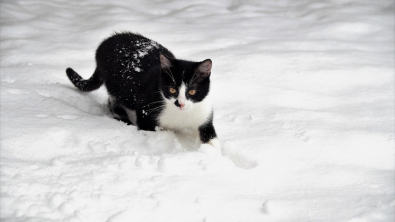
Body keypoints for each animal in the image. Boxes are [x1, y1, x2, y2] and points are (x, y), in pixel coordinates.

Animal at [64, 32, 220, 151]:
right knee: (113, 101)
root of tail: (104, 43)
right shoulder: (146, 110)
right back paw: (123, 118)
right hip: (117, 85)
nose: (180, 104)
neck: (181, 115)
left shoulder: (204, 114)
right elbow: (148, 128)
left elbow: (211, 137)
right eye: (172, 89)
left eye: (192, 91)